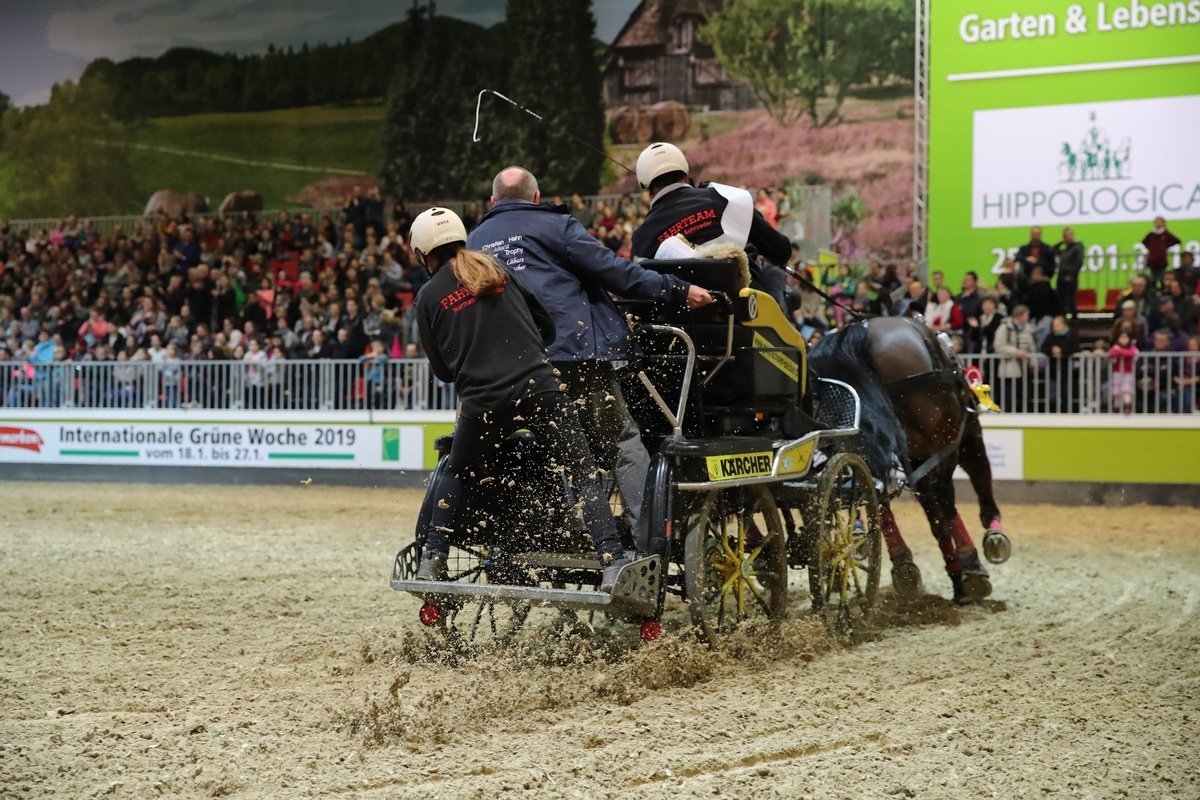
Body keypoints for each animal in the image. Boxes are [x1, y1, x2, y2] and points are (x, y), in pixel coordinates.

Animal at [811, 316, 1008, 604]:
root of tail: (858, 332)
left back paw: (906, 565)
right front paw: (990, 539)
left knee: (876, 495)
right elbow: (977, 486)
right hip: (941, 441)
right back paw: (965, 569)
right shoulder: (966, 438)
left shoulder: (916, 457)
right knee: (944, 502)